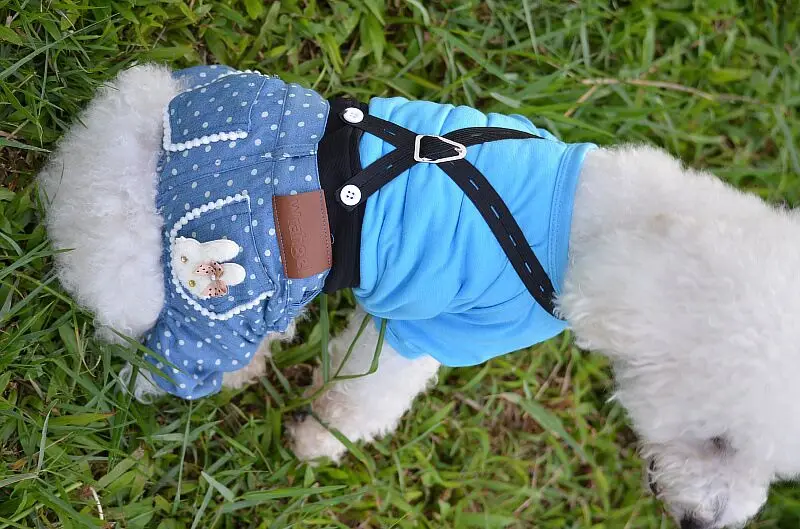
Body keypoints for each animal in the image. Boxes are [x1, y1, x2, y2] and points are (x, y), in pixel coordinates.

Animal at [37, 63, 800, 529]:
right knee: (150, 354)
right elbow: (369, 393)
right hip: (217, 285)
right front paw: (322, 439)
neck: (588, 222)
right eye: (718, 440)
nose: (708, 521)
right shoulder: (437, 324)